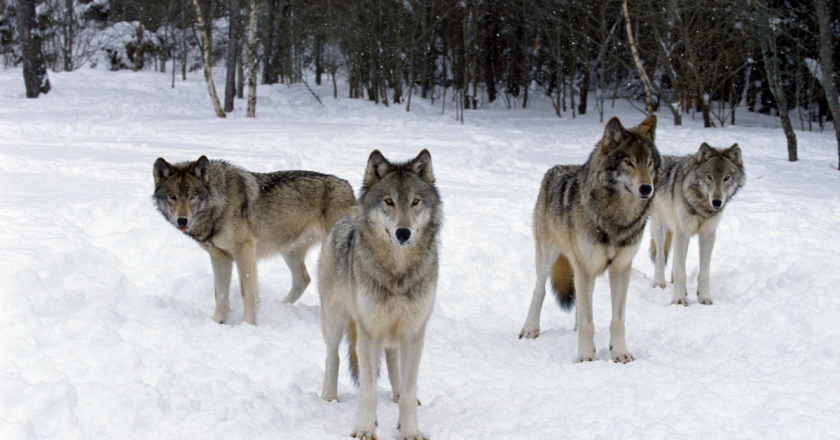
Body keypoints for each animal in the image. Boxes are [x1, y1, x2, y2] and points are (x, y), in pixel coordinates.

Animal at [153, 156, 355, 325]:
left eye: (192, 196)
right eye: (172, 196)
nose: (182, 220)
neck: (220, 204)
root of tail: (348, 186)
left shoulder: (244, 251)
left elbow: (247, 293)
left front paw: (248, 325)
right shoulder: (219, 256)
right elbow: (220, 295)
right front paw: (217, 322)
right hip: (289, 251)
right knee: (303, 279)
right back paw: (281, 307)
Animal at [319, 149, 441, 440]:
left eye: (415, 201)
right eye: (389, 201)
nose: (403, 232)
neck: (397, 273)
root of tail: (344, 218)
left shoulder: (414, 331)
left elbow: (409, 389)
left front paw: (409, 430)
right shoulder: (369, 331)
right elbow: (367, 389)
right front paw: (364, 428)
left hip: (393, 333)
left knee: (393, 362)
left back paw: (395, 396)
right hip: (336, 321)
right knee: (333, 356)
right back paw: (329, 398)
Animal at [518, 116, 660, 364]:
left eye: (650, 163)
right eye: (628, 162)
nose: (646, 188)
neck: (617, 219)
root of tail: (554, 170)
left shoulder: (621, 268)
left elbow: (617, 320)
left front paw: (620, 353)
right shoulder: (585, 267)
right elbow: (588, 322)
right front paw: (585, 357)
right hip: (549, 257)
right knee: (540, 290)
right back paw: (530, 329)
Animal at [649, 143, 745, 306]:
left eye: (727, 177)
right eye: (709, 177)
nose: (717, 202)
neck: (701, 207)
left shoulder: (707, 234)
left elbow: (704, 271)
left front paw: (704, 297)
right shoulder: (683, 232)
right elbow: (681, 271)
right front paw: (679, 299)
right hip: (661, 227)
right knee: (660, 256)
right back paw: (659, 284)